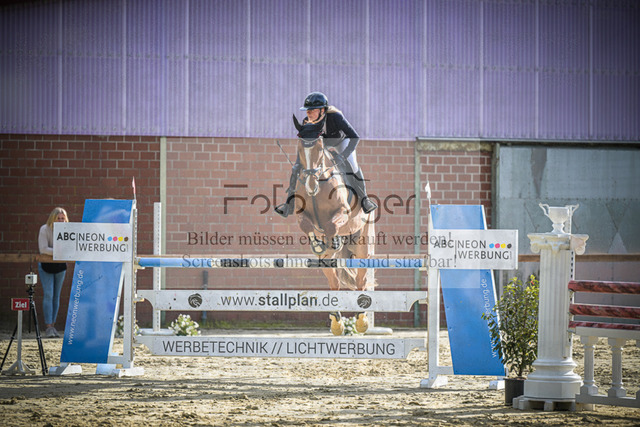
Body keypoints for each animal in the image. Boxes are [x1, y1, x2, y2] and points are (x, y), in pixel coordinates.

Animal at [290, 114, 376, 292]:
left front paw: (333, 243)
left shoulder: (343, 211)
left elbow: (331, 226)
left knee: (361, 281)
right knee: (334, 281)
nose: (311, 185)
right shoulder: (301, 214)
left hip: (363, 245)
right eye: (300, 148)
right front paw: (318, 246)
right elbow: (307, 225)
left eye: (319, 148)